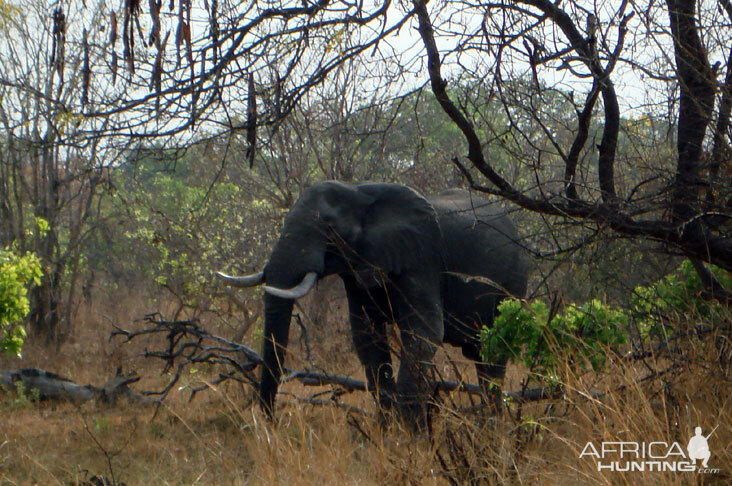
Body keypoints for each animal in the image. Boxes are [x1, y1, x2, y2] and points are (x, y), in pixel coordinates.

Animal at [214, 181, 528, 426]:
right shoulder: (357, 270)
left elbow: (423, 332)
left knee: (494, 354)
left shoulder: (421, 258)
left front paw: (410, 440)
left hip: (513, 282)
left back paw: (492, 429)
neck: (359, 192)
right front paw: (388, 434)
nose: (270, 425)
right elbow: (367, 337)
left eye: (329, 228)